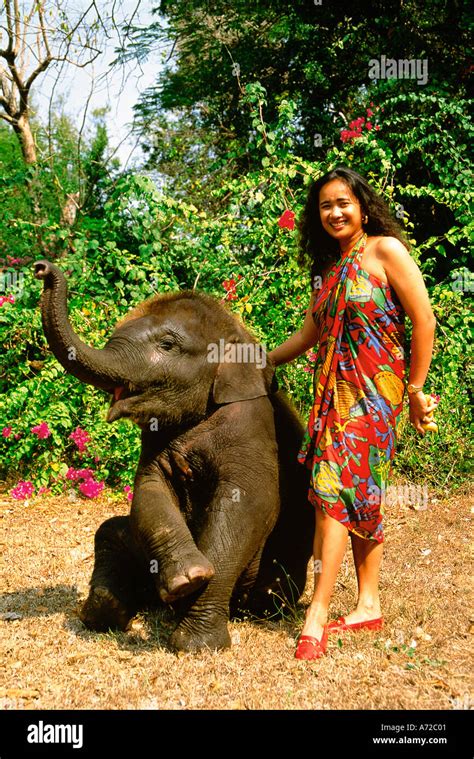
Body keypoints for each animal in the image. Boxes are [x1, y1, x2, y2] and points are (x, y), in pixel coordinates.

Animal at [34, 262, 314, 652]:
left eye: (167, 345)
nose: (41, 268)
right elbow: (150, 489)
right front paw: (187, 578)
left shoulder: (254, 425)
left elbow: (249, 504)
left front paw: (195, 640)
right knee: (109, 531)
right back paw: (105, 611)